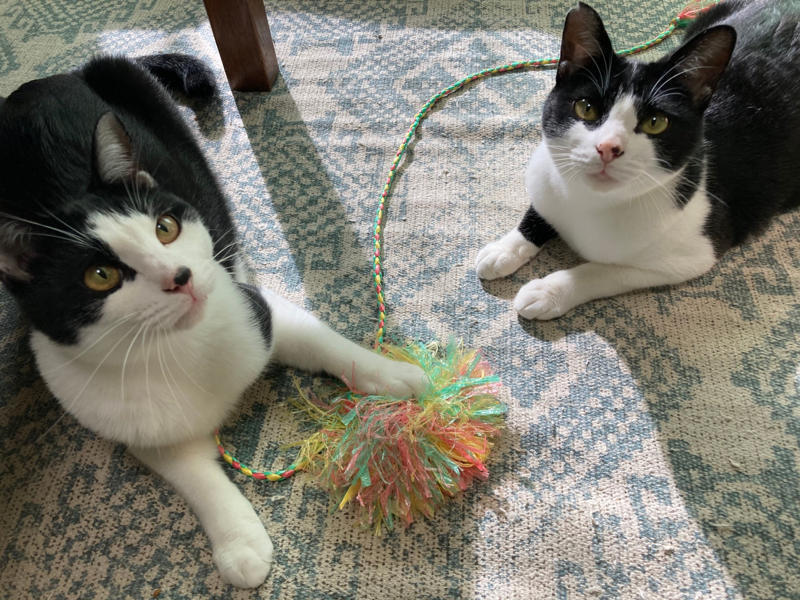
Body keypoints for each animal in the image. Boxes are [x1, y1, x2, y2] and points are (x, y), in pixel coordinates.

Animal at [0, 54, 428, 589]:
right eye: (100, 276)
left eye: (165, 228)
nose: (180, 277)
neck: (182, 348)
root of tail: (35, 84)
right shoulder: (136, 422)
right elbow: (195, 476)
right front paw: (239, 544)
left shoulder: (252, 305)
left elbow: (327, 344)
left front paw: (399, 377)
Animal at [476, 0, 800, 320]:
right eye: (586, 107)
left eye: (655, 122)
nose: (608, 147)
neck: (590, 201)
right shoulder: (546, 178)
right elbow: (541, 209)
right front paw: (504, 249)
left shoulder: (693, 253)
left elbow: (604, 270)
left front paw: (548, 291)